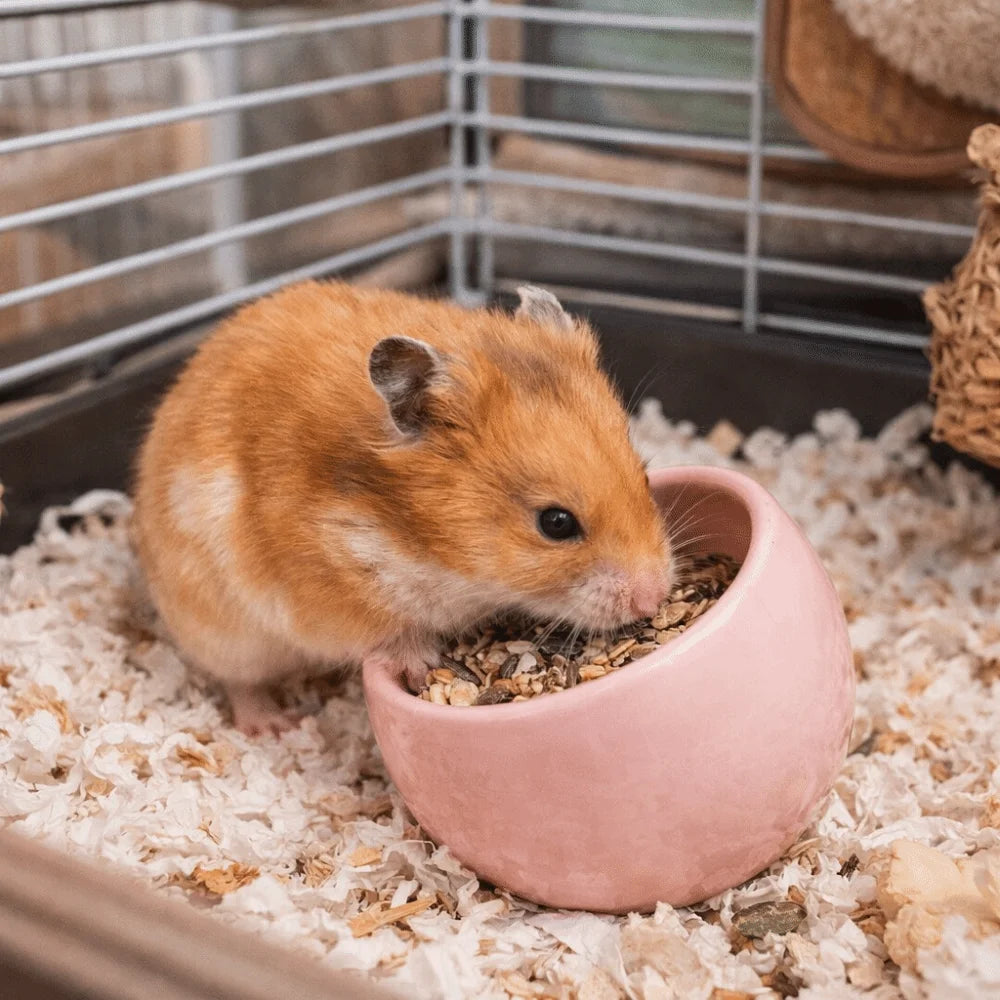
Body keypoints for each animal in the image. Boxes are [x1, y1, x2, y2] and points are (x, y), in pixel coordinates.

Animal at [131, 282, 673, 735]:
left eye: (644, 474)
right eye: (556, 523)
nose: (653, 599)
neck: (418, 541)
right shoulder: (328, 594)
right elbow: (386, 634)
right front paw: (421, 663)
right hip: (223, 634)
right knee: (240, 682)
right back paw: (272, 725)